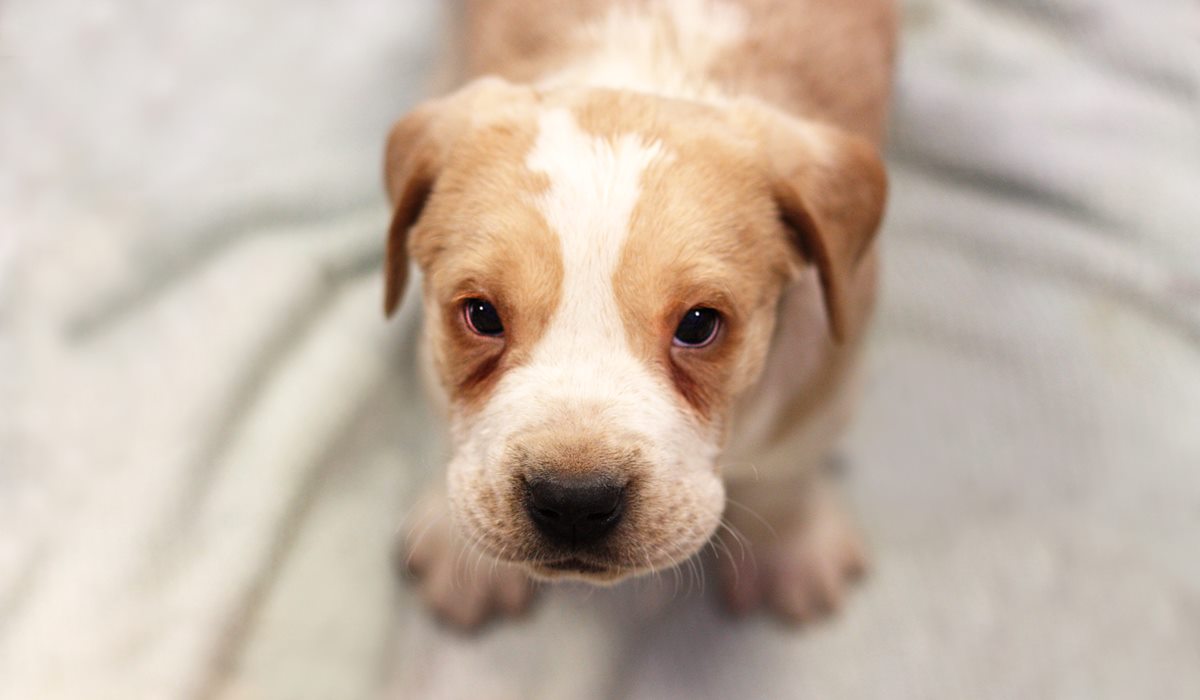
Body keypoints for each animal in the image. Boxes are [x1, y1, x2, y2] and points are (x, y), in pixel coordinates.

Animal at [381, 0, 892, 629]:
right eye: (482, 315)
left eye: (698, 325)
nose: (573, 500)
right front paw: (464, 558)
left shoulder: (827, 360)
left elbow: (789, 466)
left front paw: (790, 548)